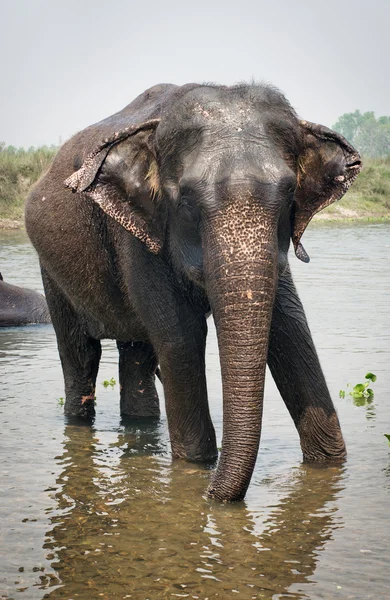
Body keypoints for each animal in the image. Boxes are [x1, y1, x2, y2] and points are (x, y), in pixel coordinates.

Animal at [25, 79, 362, 502]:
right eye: (185, 199)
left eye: (289, 194)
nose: (211, 497)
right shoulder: (139, 235)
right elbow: (182, 336)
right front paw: (195, 469)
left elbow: (291, 330)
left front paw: (327, 464)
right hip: (51, 270)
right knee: (80, 353)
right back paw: (81, 421)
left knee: (137, 353)